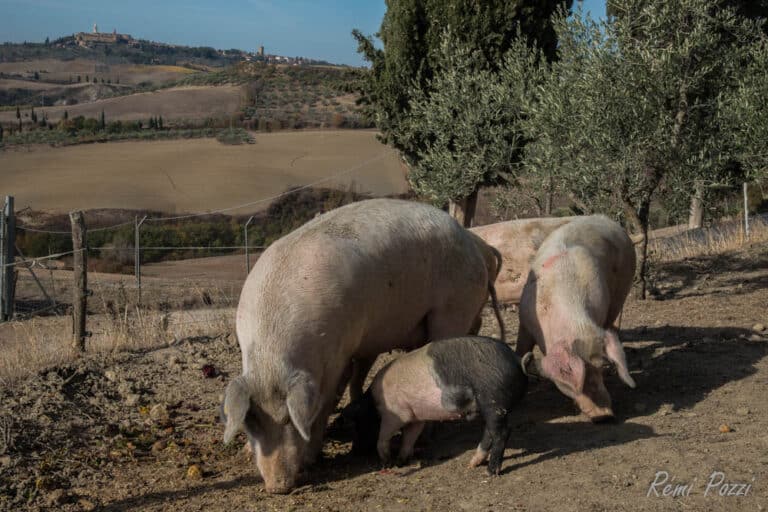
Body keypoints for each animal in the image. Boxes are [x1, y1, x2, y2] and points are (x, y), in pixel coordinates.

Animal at [220, 198, 504, 494]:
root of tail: (473, 244)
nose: (277, 486)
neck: (272, 355)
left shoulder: (339, 351)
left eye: (289, 419)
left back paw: (426, 437)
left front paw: (311, 458)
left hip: (452, 308)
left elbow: (326, 400)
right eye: (252, 423)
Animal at [346, 336, 528, 476]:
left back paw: (489, 472)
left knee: (502, 433)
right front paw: (401, 461)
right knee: (489, 432)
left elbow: (383, 438)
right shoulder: (416, 417)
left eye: (357, 425)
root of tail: (517, 359)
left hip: (493, 402)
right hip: (491, 406)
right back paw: (472, 464)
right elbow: (409, 438)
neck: (374, 404)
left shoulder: (396, 415)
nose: (354, 452)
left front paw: (387, 463)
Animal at [516, 214, 636, 422]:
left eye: (601, 369)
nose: (605, 417)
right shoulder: (525, 321)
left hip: (623, 288)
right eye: (577, 382)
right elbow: (520, 348)